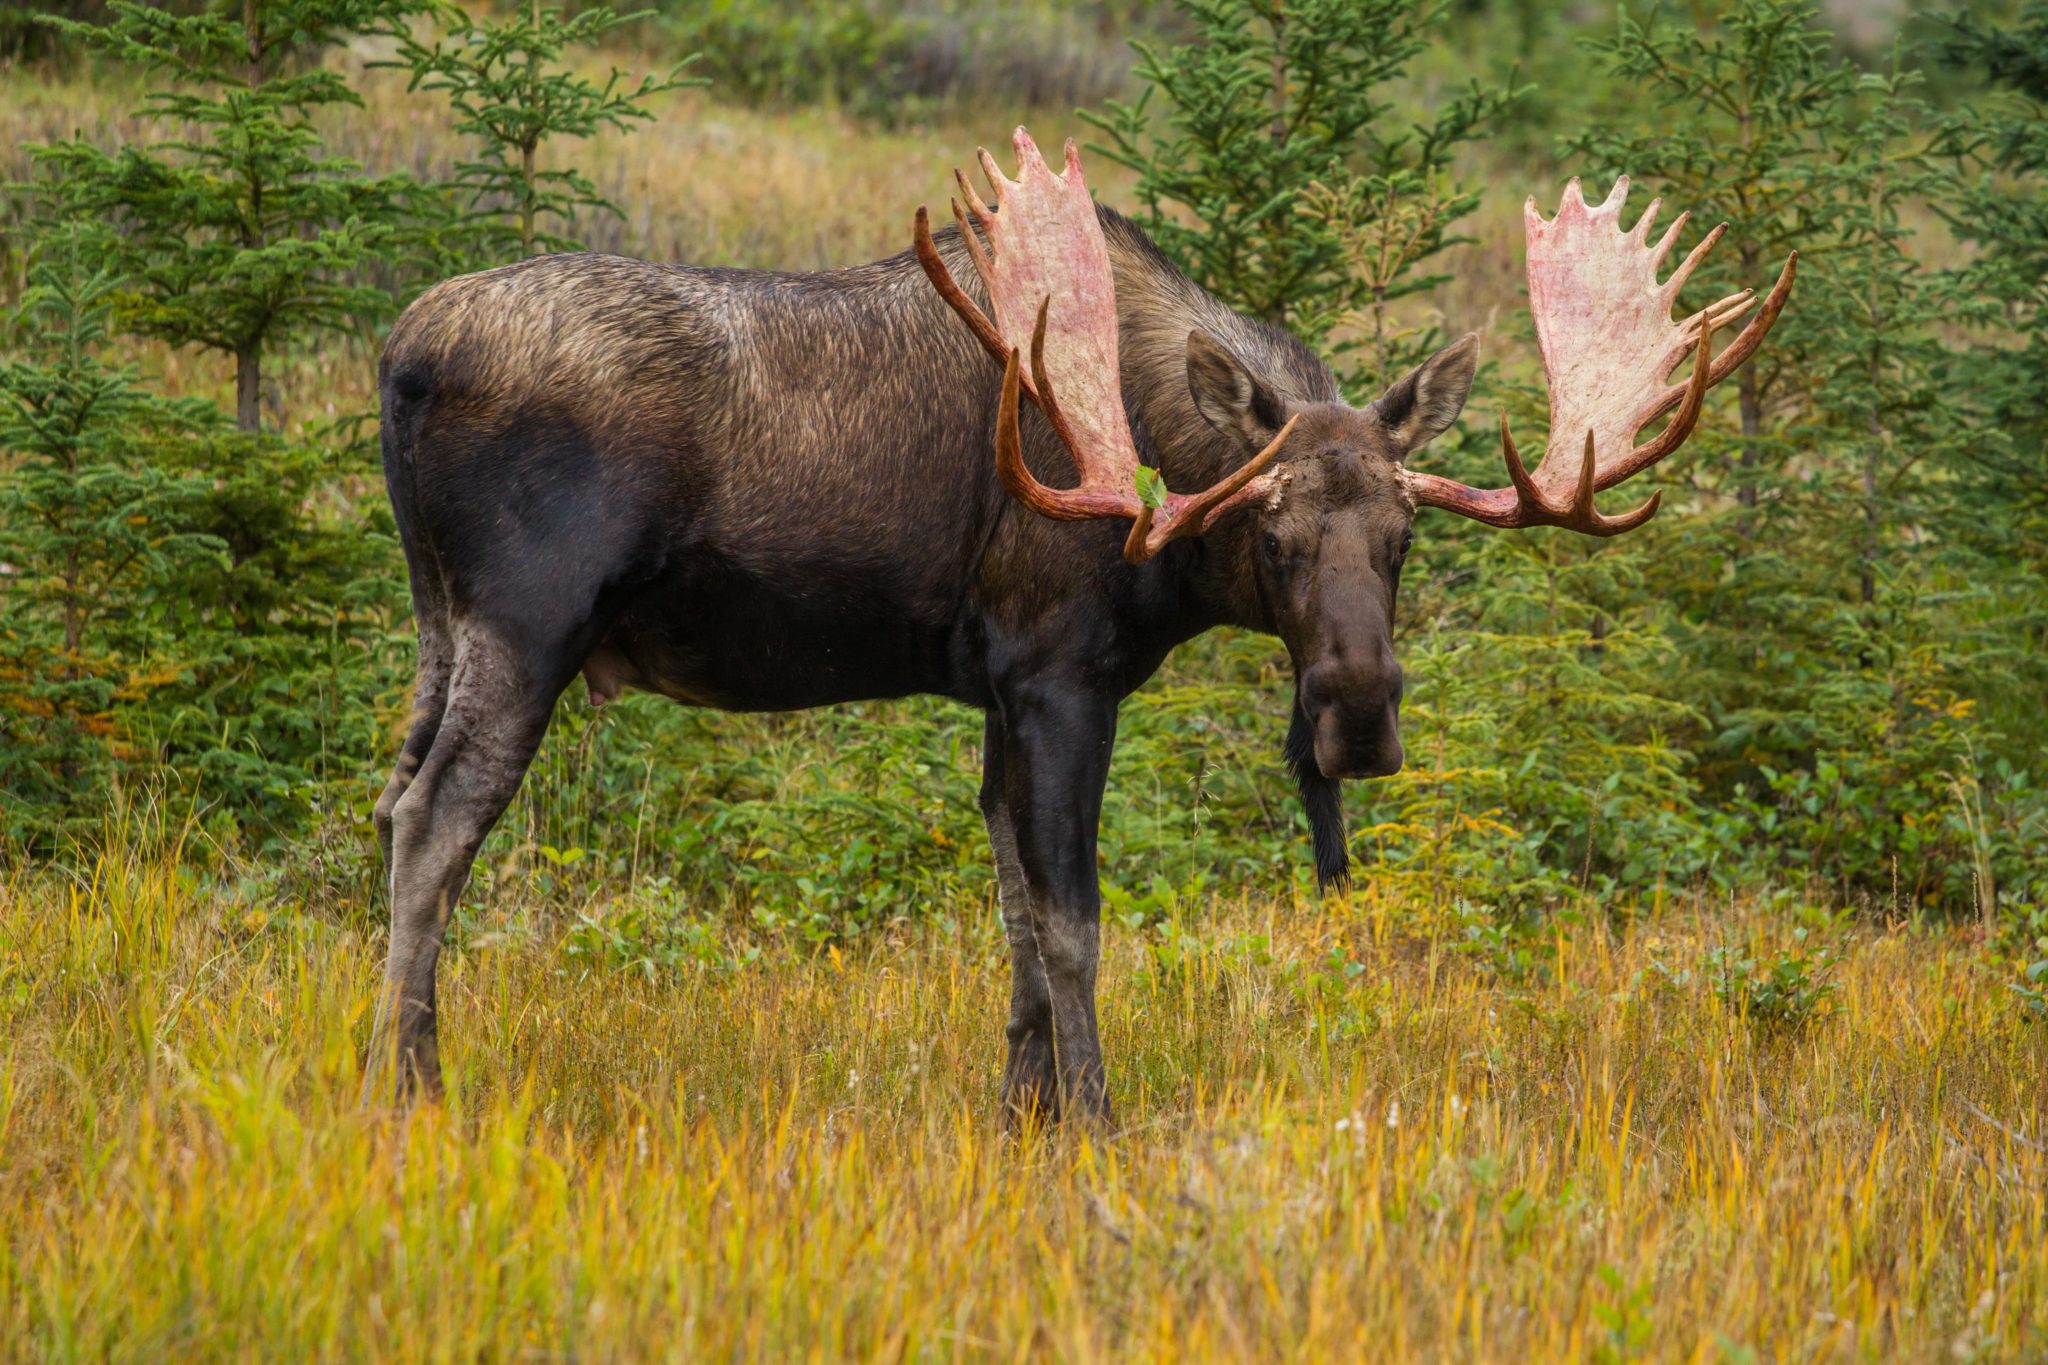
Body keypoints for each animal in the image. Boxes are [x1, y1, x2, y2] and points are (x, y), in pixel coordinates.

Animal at [368, 127, 1794, 1121]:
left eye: (1403, 537)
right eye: (1270, 536)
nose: (1356, 715)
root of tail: (400, 356)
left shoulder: (995, 689)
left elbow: (1009, 913)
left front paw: (1019, 1112)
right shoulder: (1060, 673)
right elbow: (1073, 919)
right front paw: (1097, 1117)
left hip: (437, 625)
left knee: (388, 806)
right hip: (528, 621)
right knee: (435, 828)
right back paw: (413, 1087)